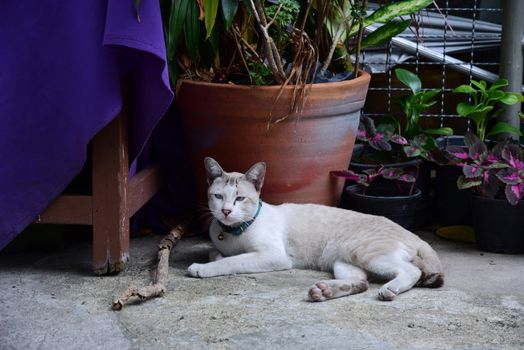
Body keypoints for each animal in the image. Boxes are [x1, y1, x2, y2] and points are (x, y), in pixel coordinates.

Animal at [188, 157, 442, 300]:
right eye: (218, 197)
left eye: (239, 198)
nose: (226, 211)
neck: (232, 232)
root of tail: (414, 235)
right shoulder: (219, 244)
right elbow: (217, 254)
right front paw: (216, 257)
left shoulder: (273, 256)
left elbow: (232, 261)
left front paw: (202, 268)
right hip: (342, 261)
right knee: (361, 283)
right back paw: (323, 291)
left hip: (365, 253)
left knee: (411, 271)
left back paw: (389, 290)